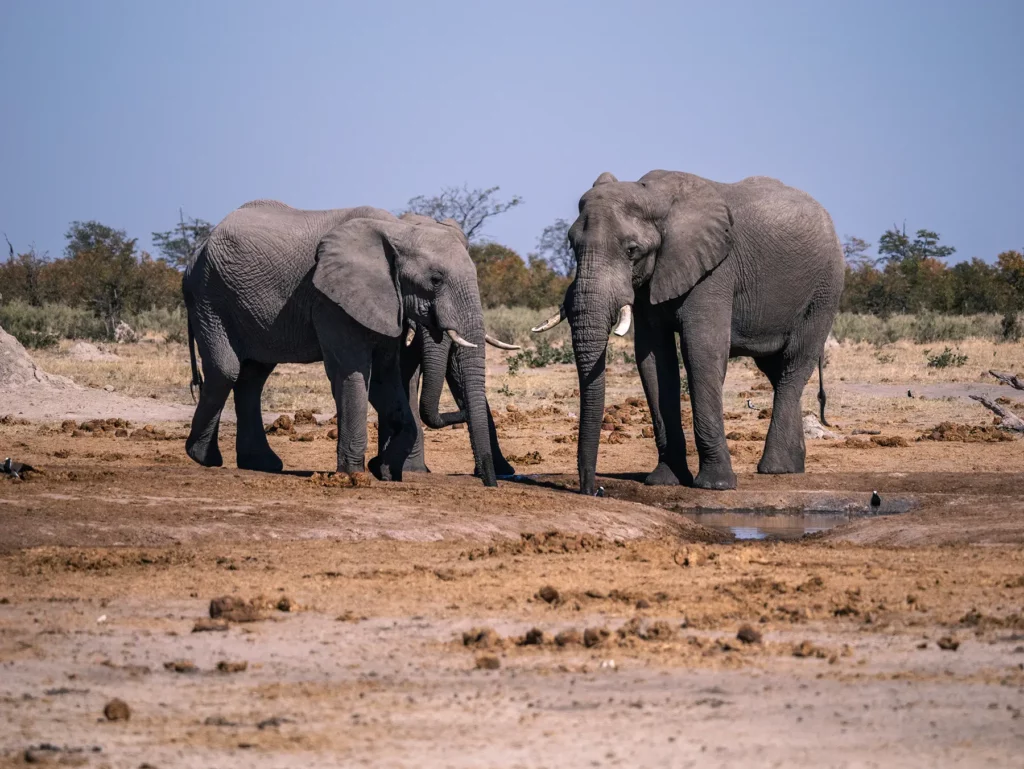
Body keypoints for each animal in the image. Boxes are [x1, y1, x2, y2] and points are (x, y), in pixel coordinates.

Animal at [183, 200, 518, 486]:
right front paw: (355, 475)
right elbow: (352, 371)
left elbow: (386, 378)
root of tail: (194, 254)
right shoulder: (331, 298)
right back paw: (203, 457)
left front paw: (385, 471)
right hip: (210, 297)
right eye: (435, 280)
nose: (491, 484)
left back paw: (260, 464)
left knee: (252, 375)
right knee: (227, 370)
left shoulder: (384, 301)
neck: (397, 230)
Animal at [532, 171, 845, 494]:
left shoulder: (715, 271)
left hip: (824, 290)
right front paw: (664, 481)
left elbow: (701, 352)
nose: (593, 490)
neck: (656, 198)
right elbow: (654, 361)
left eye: (632, 250)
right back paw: (791, 468)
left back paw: (775, 468)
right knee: (775, 370)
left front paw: (716, 485)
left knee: (794, 365)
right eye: (572, 246)